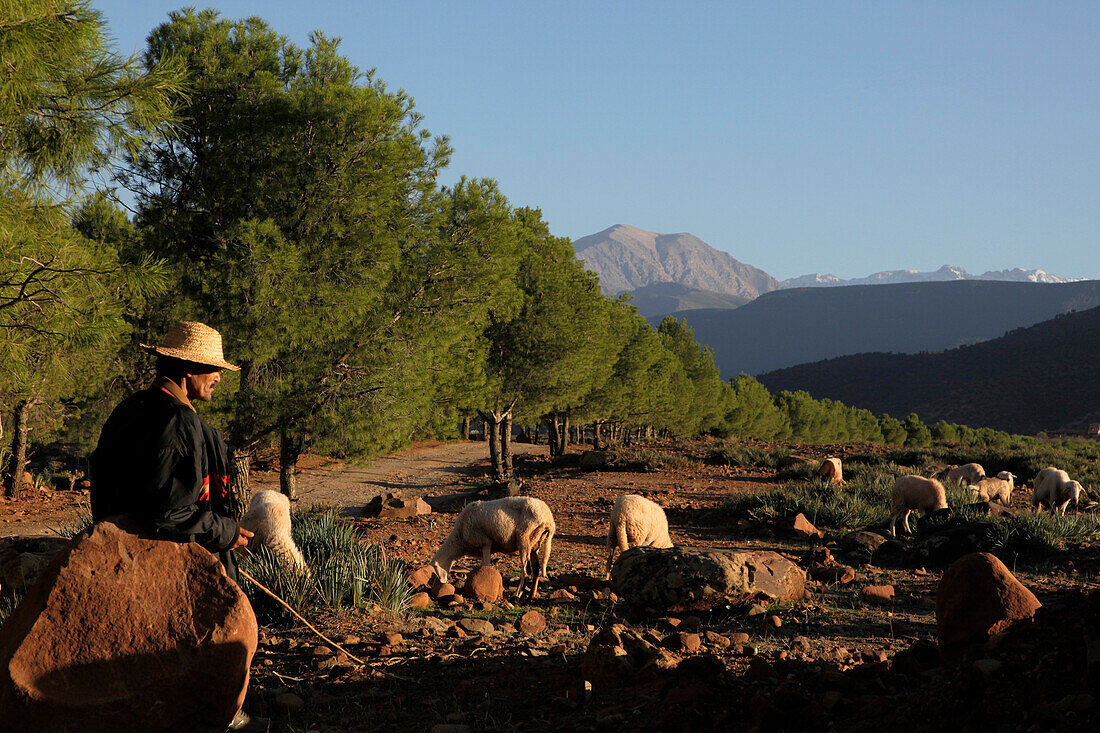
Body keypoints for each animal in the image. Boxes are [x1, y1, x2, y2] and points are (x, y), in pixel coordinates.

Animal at [424, 493, 554, 598]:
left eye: (435, 568)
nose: (442, 582)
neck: (459, 539)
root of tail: (549, 520)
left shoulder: (485, 542)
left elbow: (486, 565)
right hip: (535, 543)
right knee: (536, 570)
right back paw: (531, 595)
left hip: (524, 539)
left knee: (526, 571)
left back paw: (517, 594)